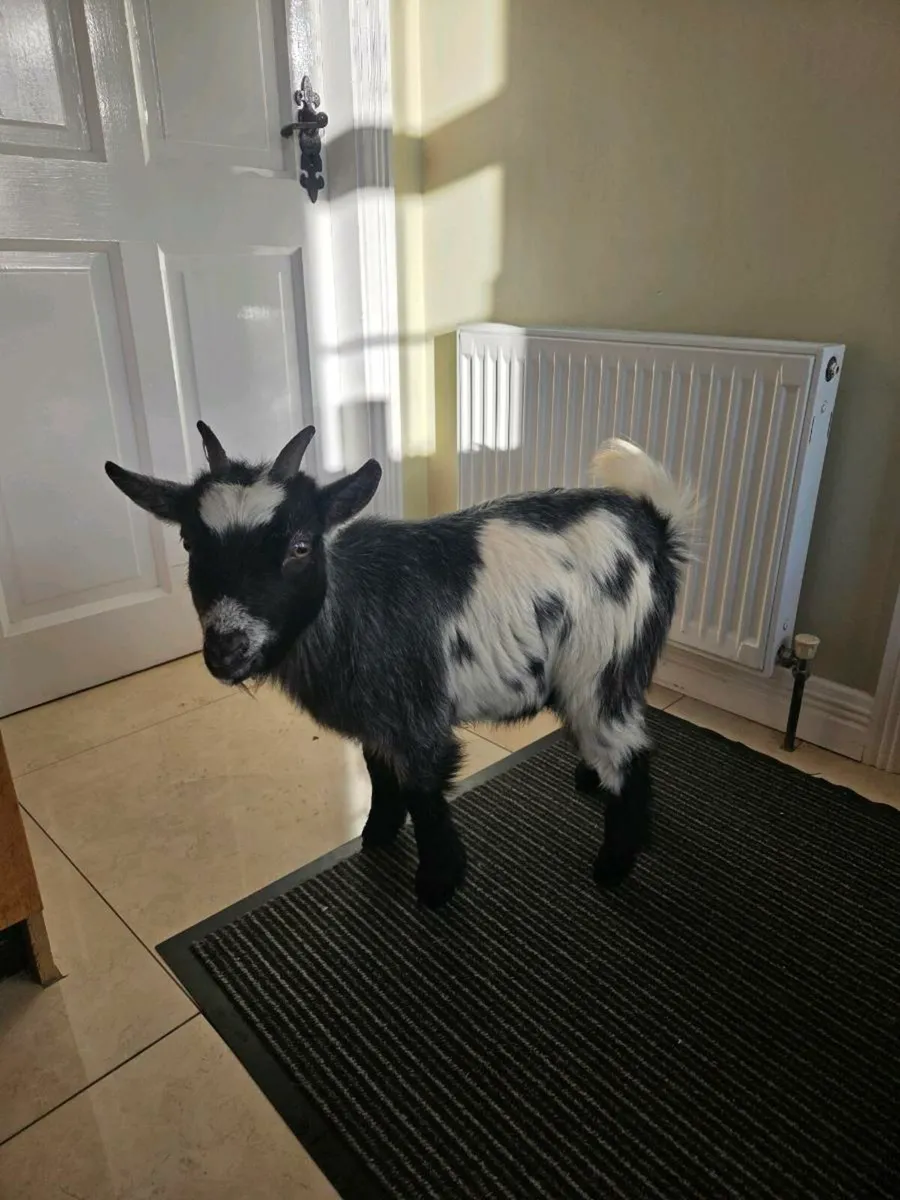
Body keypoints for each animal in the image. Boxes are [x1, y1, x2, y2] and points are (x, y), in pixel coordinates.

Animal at [105, 425, 694, 908]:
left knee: (629, 751)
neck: (348, 608)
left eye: (301, 545)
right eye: (188, 540)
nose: (227, 648)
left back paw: (614, 865)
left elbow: (424, 793)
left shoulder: (418, 718)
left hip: (601, 664)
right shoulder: (376, 716)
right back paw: (591, 782)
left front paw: (437, 883)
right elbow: (378, 772)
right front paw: (377, 836)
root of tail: (652, 525)